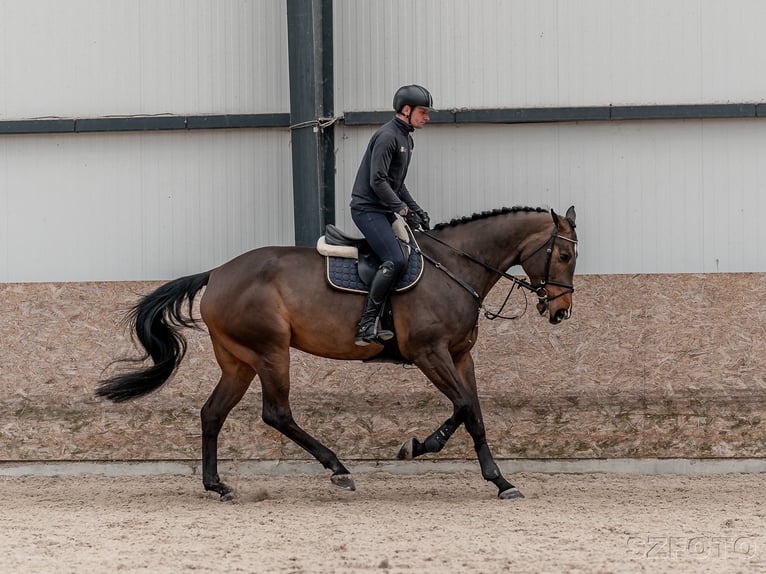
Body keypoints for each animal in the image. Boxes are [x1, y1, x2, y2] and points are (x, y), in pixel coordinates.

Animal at [97, 206, 576, 500]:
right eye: (565, 255)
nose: (561, 311)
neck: (456, 268)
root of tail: (217, 273)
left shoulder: (460, 356)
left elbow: (474, 413)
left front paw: (500, 481)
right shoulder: (430, 354)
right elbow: (460, 406)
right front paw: (415, 447)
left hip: (239, 361)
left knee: (212, 413)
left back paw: (218, 486)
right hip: (270, 352)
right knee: (277, 413)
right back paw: (337, 468)